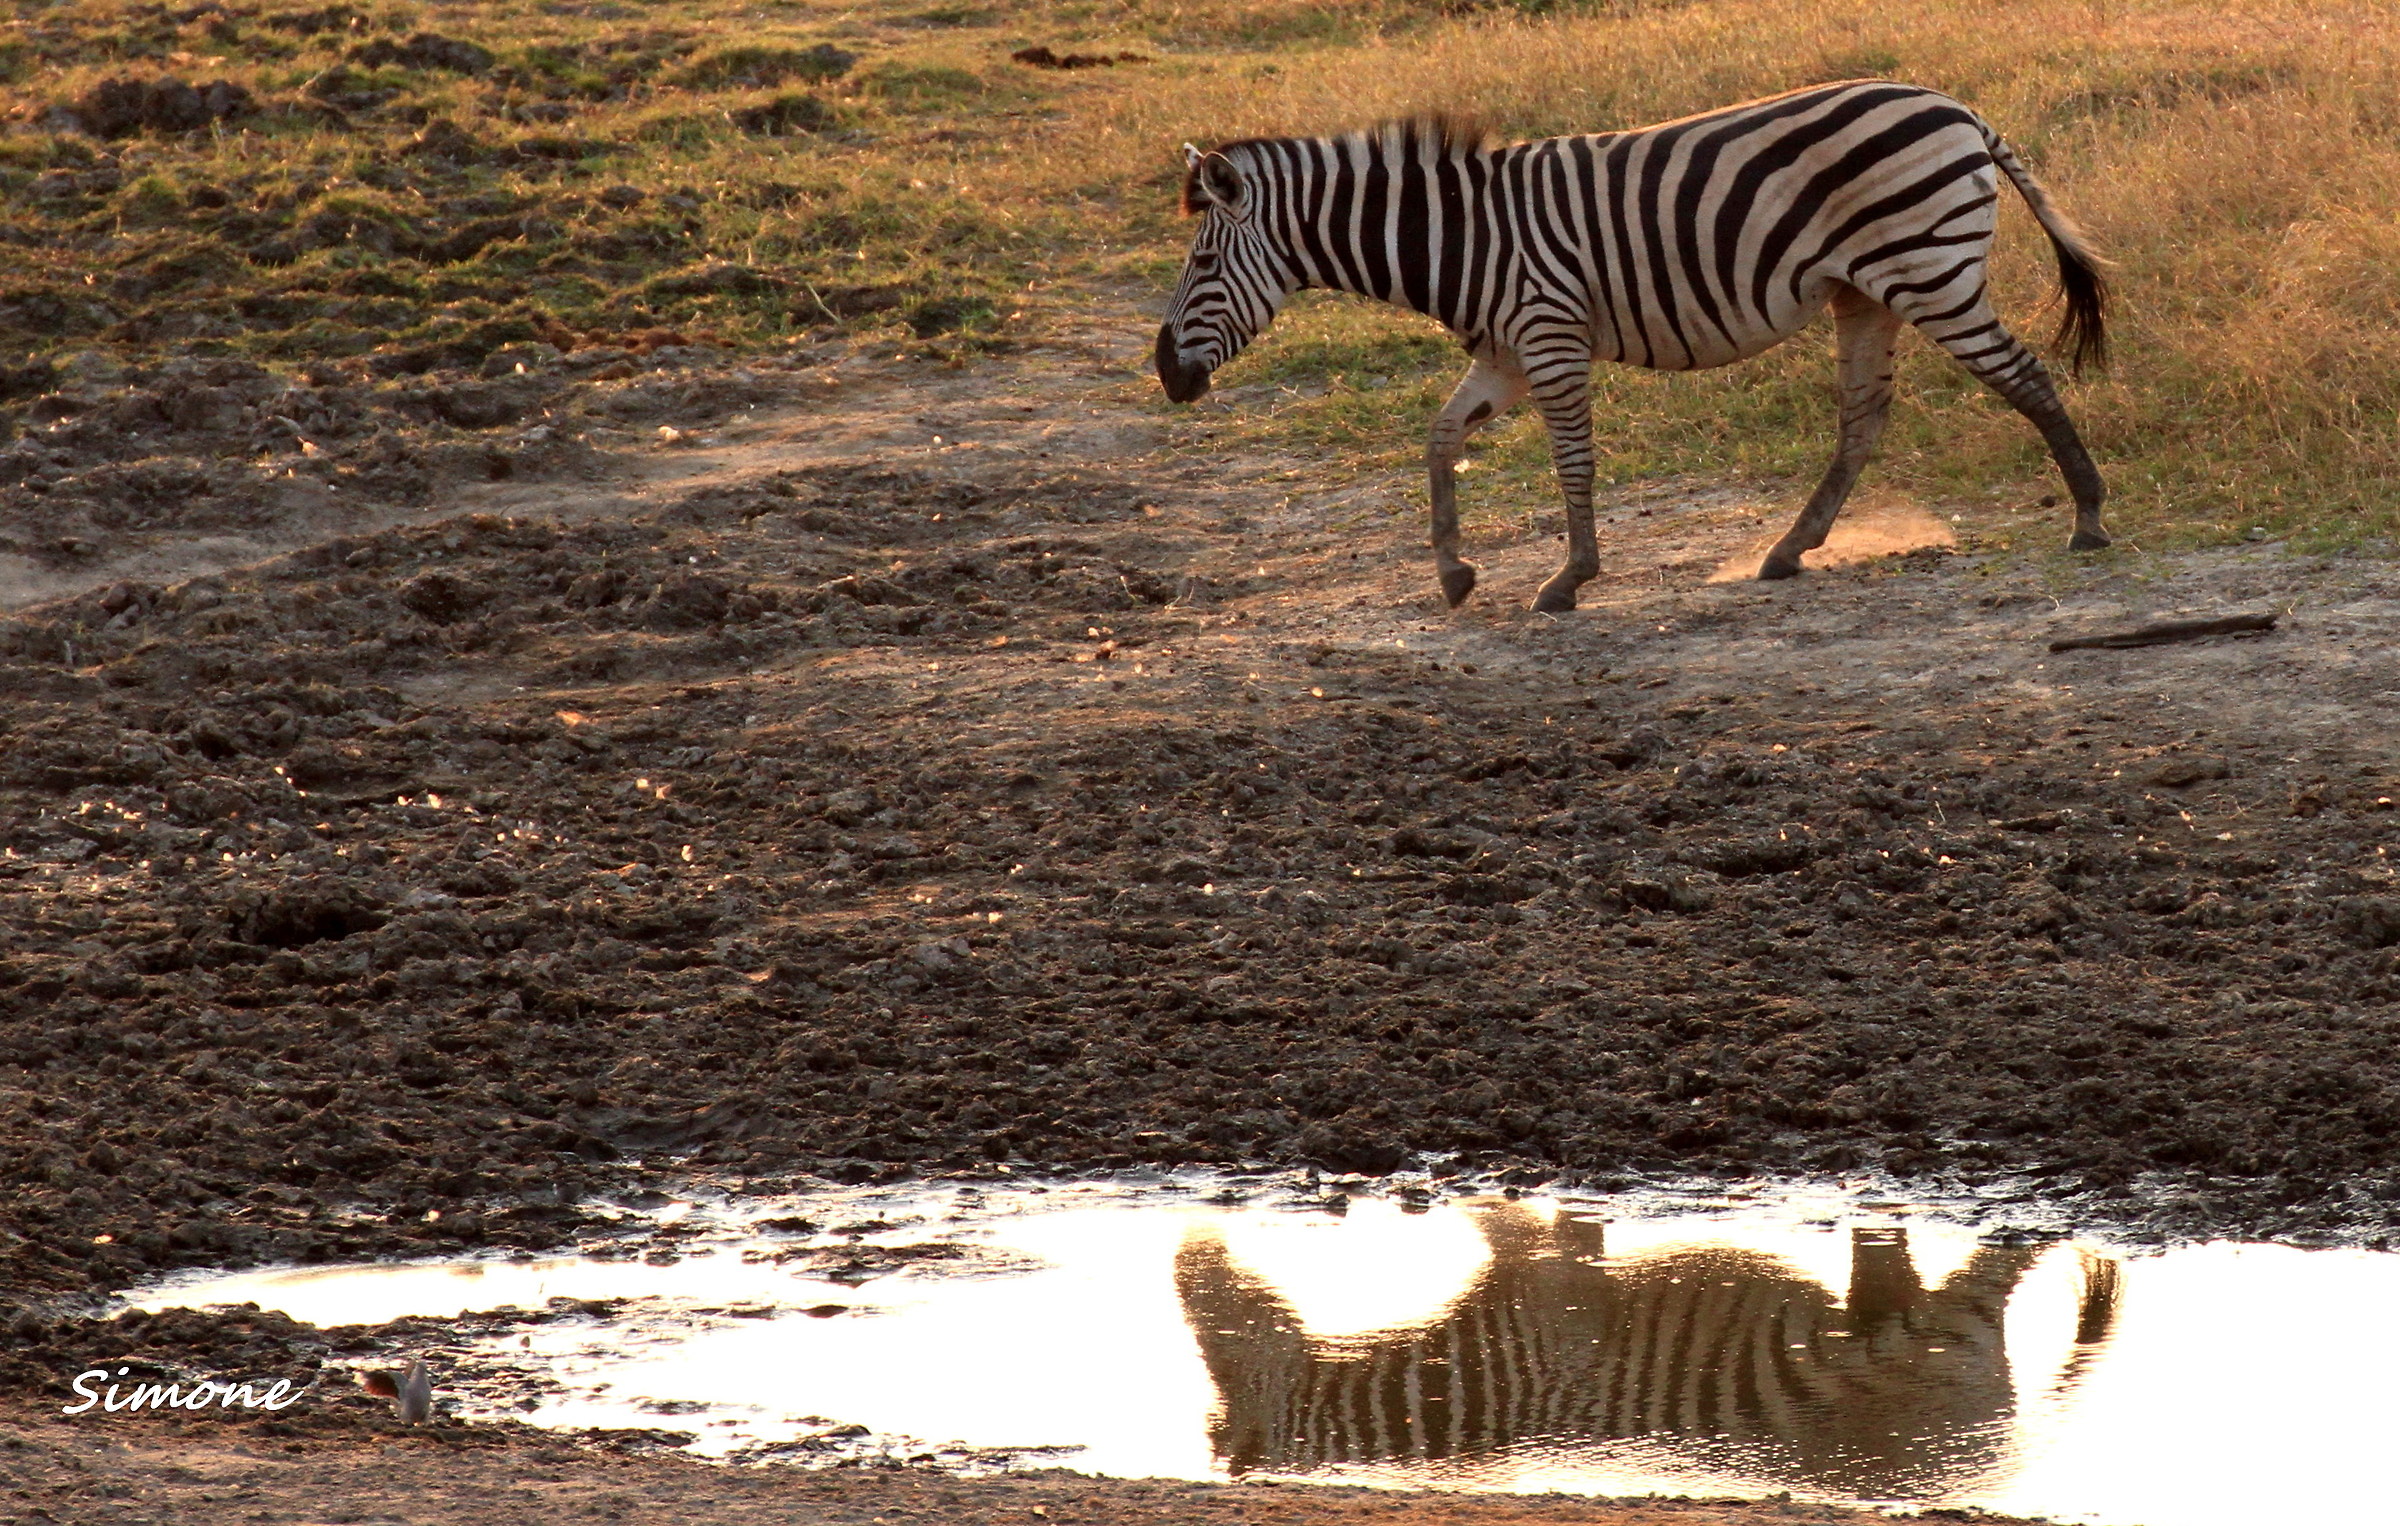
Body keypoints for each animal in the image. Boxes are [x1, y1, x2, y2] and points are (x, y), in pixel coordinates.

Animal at [1155, 82, 2112, 612]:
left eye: (1201, 264)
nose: (1165, 374)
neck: (1461, 235)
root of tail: (1958, 110)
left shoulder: (1548, 333)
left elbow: (1571, 461)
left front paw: (1570, 578)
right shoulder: (1504, 354)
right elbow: (1439, 439)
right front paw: (1455, 573)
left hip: (1926, 269)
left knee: (2023, 375)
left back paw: (2089, 518)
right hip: (1867, 291)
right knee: (1863, 419)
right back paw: (1788, 550)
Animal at [1176, 1205, 2122, 1499]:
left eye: (1208, 1327)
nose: (1188, 1249)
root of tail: (1987, 1451)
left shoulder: (1556, 1295)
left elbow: (1519, 1224)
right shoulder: (1551, 1269)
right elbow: (1524, 1220)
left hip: (1934, 1333)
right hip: (1912, 1321)